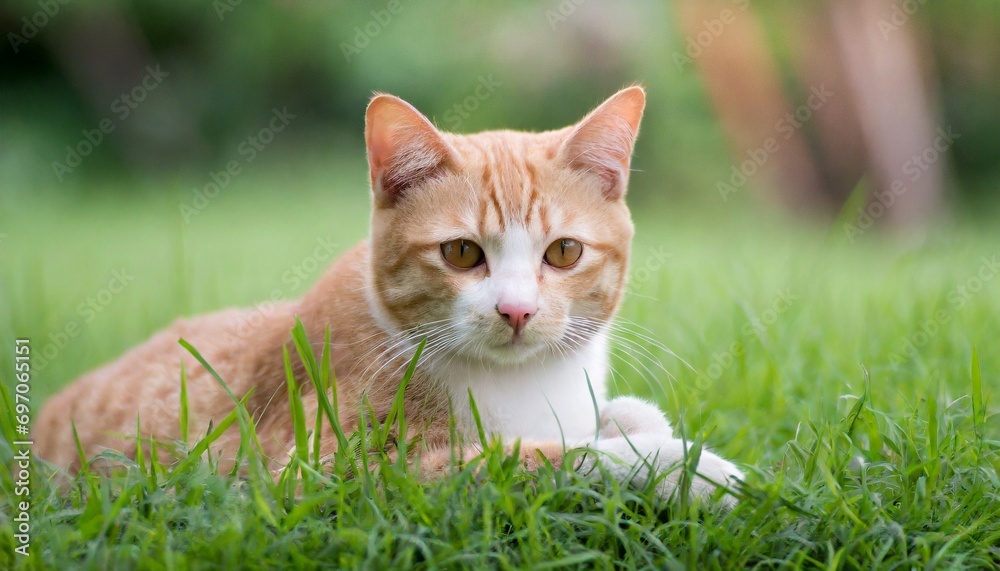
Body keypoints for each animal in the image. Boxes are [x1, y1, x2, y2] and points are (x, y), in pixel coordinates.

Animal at [35, 86, 744, 504]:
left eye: (564, 252)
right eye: (463, 253)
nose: (516, 310)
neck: (522, 384)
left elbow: (622, 417)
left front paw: (635, 426)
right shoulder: (335, 472)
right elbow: (538, 456)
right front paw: (689, 468)